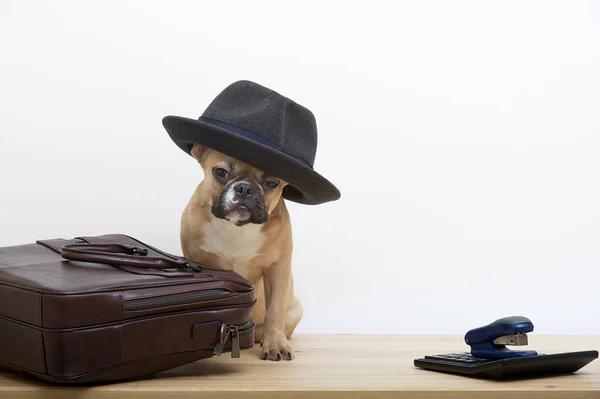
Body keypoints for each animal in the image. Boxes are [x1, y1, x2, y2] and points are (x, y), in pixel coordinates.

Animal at [177, 144, 300, 362]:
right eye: (220, 172)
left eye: (271, 183)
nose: (244, 188)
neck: (238, 227)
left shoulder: (277, 268)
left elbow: (275, 310)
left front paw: (275, 344)